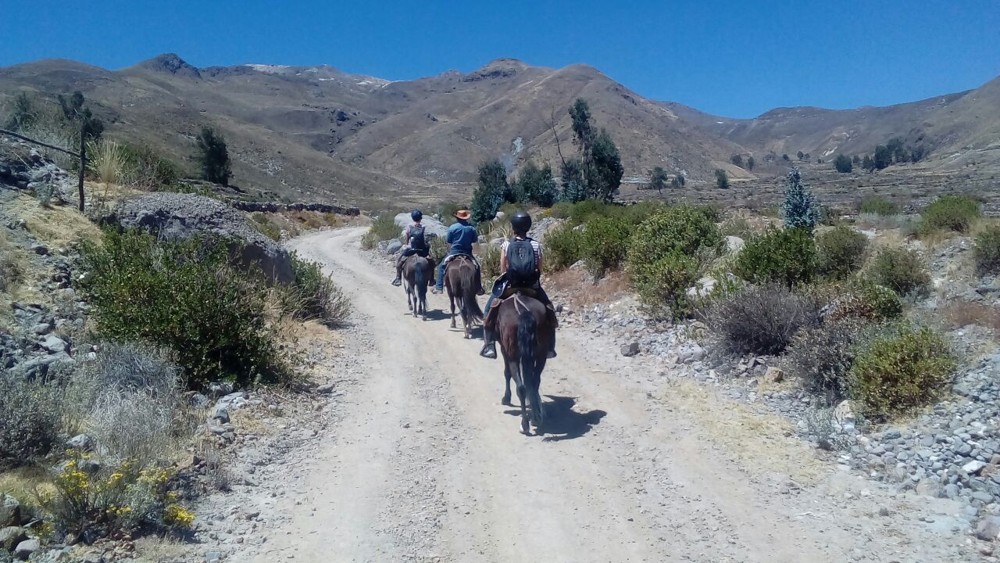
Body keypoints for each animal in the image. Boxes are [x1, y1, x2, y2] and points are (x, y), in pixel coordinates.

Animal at [498, 294, 556, 434]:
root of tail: (523, 312)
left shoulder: (504, 350)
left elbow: (507, 373)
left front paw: (506, 398)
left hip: (513, 356)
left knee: (521, 387)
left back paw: (525, 424)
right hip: (541, 356)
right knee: (534, 383)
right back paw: (536, 417)